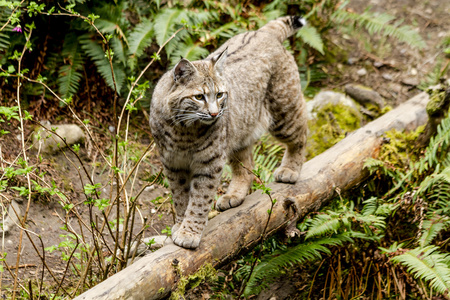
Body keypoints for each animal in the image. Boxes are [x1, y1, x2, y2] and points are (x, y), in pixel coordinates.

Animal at [149, 15, 308, 248]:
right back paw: (234, 195)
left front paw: (189, 232)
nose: (215, 114)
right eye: (199, 97)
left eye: (220, 94)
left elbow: (199, 199)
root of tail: (262, 32)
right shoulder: (172, 162)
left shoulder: (209, 162)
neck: (183, 129)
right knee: (247, 163)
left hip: (282, 113)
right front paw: (180, 225)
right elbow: (180, 196)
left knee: (302, 133)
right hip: (239, 131)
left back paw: (290, 170)